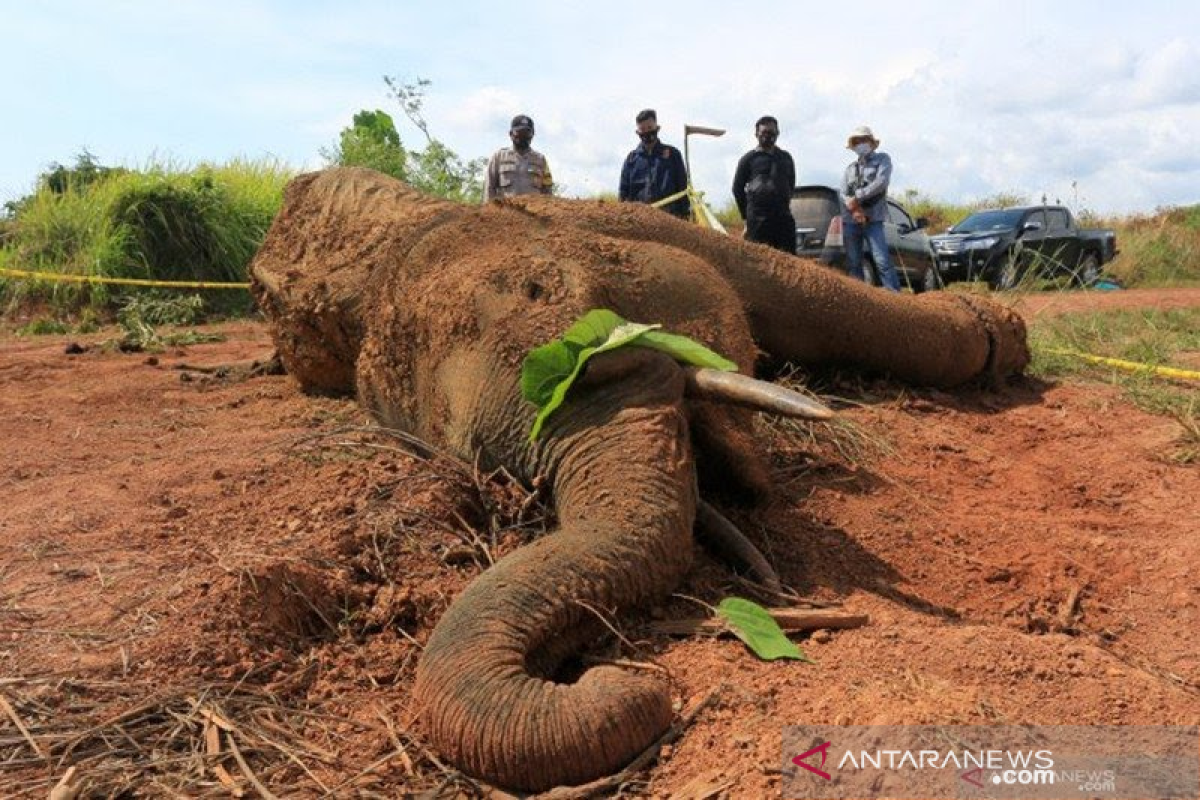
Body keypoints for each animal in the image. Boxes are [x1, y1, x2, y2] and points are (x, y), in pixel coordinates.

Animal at [248, 169, 1027, 796]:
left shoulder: (619, 227)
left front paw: (1001, 339)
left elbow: (783, 286)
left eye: (551, 290)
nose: (634, 685)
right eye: (483, 456)